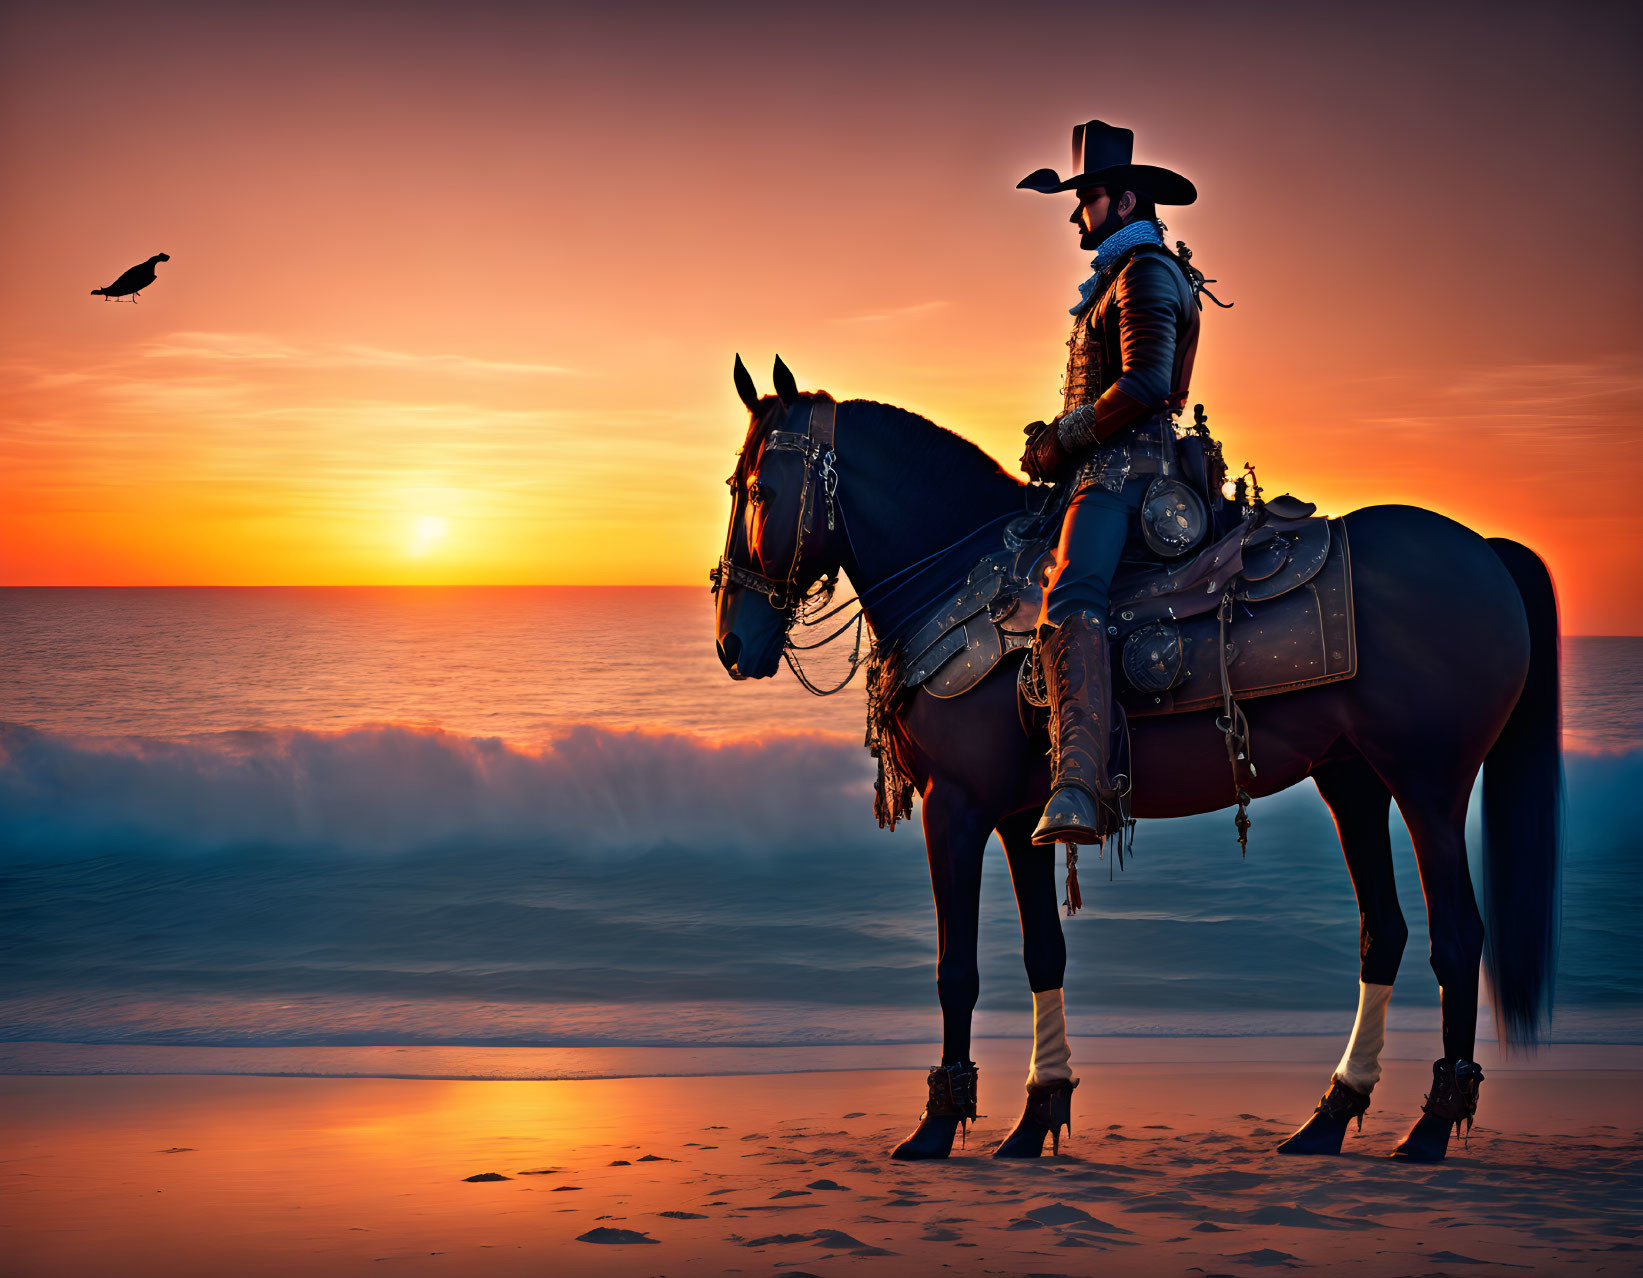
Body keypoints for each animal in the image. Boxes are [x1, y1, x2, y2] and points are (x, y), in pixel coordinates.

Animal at [713, 353, 1557, 1163]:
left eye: (757, 490)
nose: (731, 641)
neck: (957, 577)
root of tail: (1484, 550)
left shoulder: (955, 806)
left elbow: (956, 970)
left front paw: (937, 1123)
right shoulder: (1022, 816)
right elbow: (1042, 954)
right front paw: (1036, 1117)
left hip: (1427, 782)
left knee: (1458, 936)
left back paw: (1431, 1127)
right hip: (1350, 779)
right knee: (1381, 932)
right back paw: (1328, 1117)